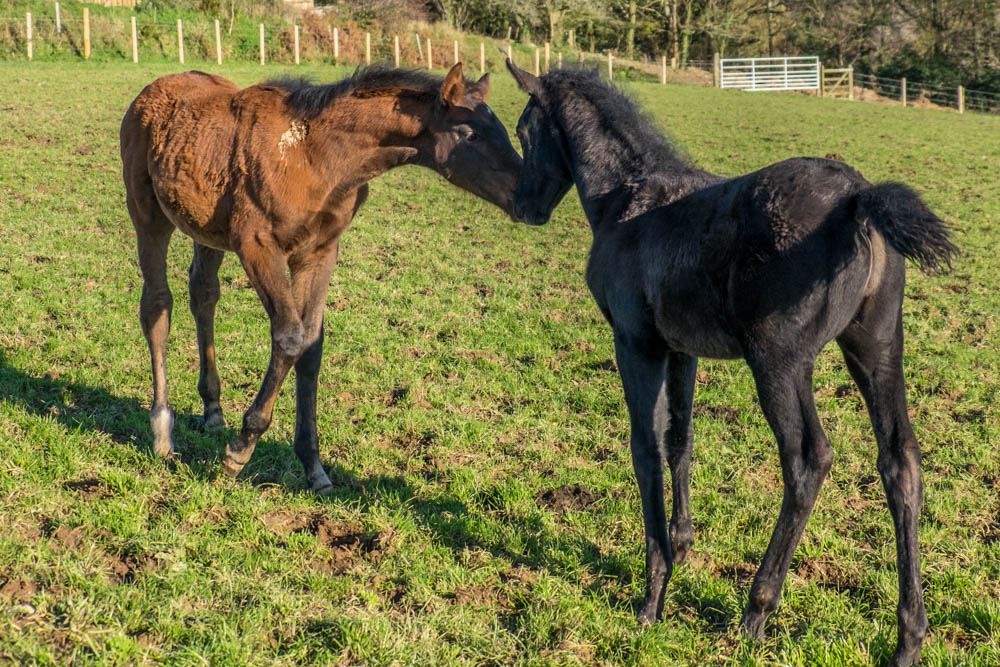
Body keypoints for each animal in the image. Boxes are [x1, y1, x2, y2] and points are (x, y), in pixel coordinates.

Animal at [120, 64, 520, 490]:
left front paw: (313, 465)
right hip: (147, 213)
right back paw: (163, 431)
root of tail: (156, 87)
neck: (315, 156)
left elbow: (311, 346)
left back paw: (212, 409)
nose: (527, 193)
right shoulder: (258, 246)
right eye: (469, 133)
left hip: (205, 229)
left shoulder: (319, 254)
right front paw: (240, 451)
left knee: (203, 295)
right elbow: (290, 337)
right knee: (157, 304)